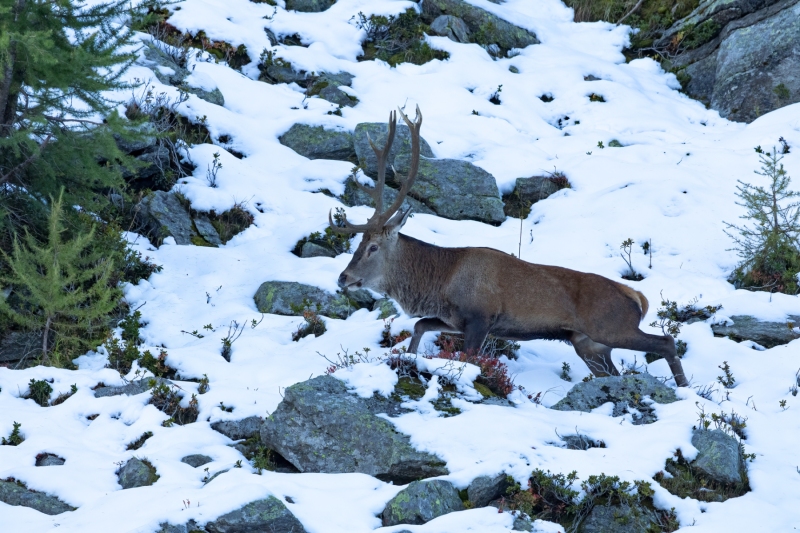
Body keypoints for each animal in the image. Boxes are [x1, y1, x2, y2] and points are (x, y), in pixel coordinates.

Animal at [329, 106, 689, 387]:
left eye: (373, 246)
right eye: (359, 241)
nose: (343, 278)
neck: (440, 282)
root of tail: (638, 297)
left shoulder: (480, 317)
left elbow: (467, 358)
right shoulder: (454, 320)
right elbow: (418, 325)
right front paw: (409, 357)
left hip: (612, 327)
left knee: (668, 341)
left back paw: (685, 388)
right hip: (590, 345)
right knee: (616, 371)